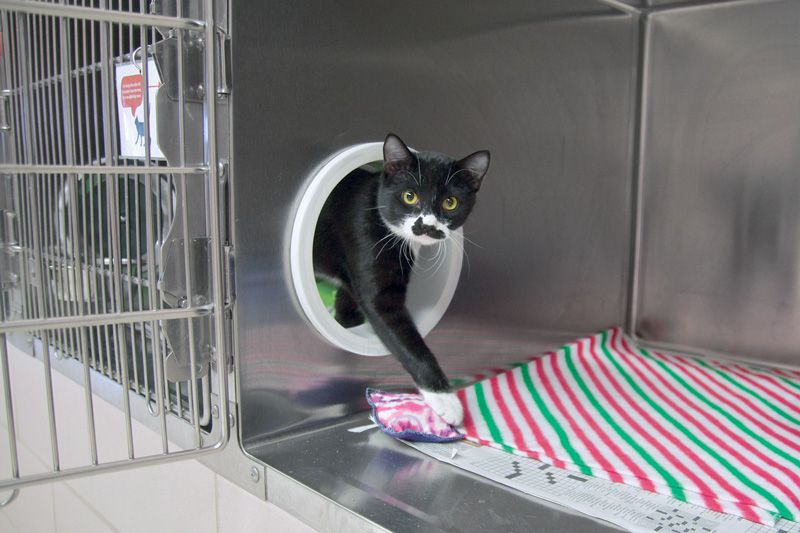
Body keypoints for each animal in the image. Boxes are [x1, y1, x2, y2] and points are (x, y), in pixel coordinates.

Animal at [310, 133, 488, 424]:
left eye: (450, 202)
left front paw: (346, 323)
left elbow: (349, 300)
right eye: (409, 196)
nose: (426, 225)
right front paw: (444, 398)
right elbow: (409, 342)